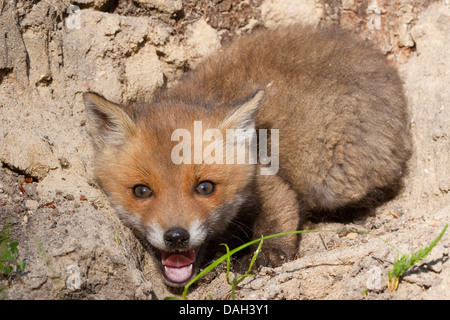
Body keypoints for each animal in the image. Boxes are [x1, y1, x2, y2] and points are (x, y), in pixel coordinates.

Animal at [83, 23, 412, 286]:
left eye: (205, 187)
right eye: (141, 191)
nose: (176, 237)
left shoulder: (270, 183)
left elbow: (275, 225)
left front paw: (262, 257)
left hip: (332, 179)